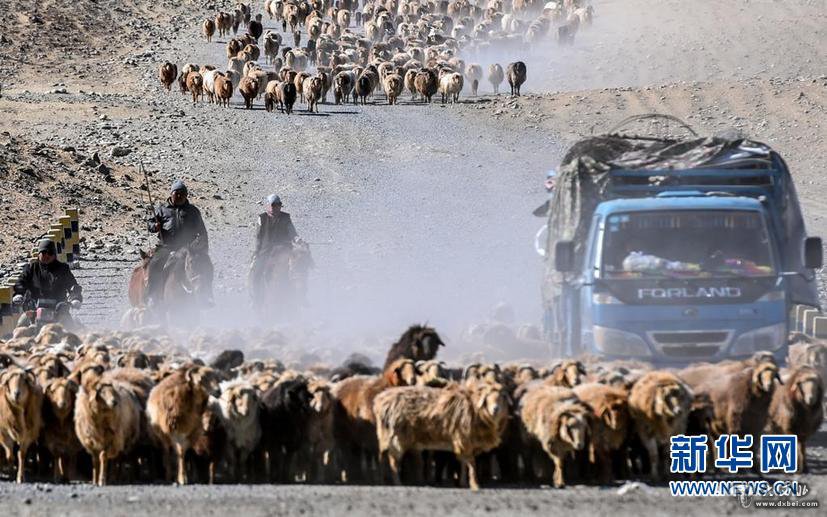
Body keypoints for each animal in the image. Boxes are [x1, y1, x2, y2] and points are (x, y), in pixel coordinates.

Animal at [376, 380, 512, 490]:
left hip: (387, 436)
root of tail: (381, 400)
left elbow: (464, 463)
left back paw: (383, 481)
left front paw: (463, 483)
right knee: (393, 461)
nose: (495, 409)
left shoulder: (464, 442)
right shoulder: (464, 439)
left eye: (501, 397)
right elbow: (471, 464)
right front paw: (475, 485)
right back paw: (398, 483)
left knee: (382, 457)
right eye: (487, 396)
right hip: (397, 437)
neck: (476, 409)